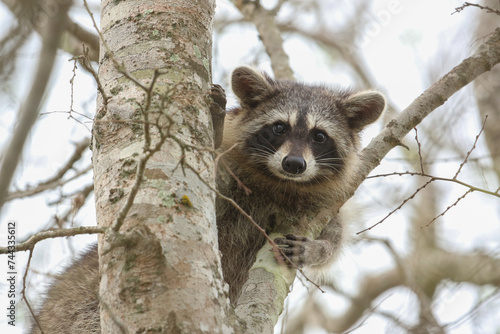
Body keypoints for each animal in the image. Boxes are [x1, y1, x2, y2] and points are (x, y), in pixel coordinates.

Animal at [28, 66, 386, 332]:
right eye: (279, 128)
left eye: (319, 136)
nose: (294, 164)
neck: (279, 184)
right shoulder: (230, 183)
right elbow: (208, 188)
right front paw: (214, 129)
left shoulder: (325, 206)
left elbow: (335, 238)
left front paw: (316, 248)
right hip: (80, 305)